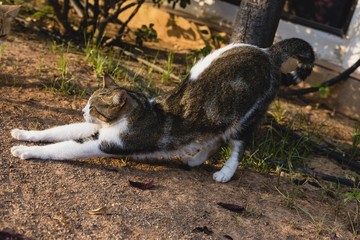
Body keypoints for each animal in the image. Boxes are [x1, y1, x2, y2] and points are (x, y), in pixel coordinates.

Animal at [10, 38, 316, 183]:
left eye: (93, 107)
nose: (82, 111)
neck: (135, 114)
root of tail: (268, 52)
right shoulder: (96, 130)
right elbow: (56, 131)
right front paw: (24, 134)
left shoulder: (106, 143)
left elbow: (61, 147)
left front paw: (26, 151)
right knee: (214, 139)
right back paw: (195, 160)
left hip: (245, 119)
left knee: (237, 147)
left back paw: (225, 173)